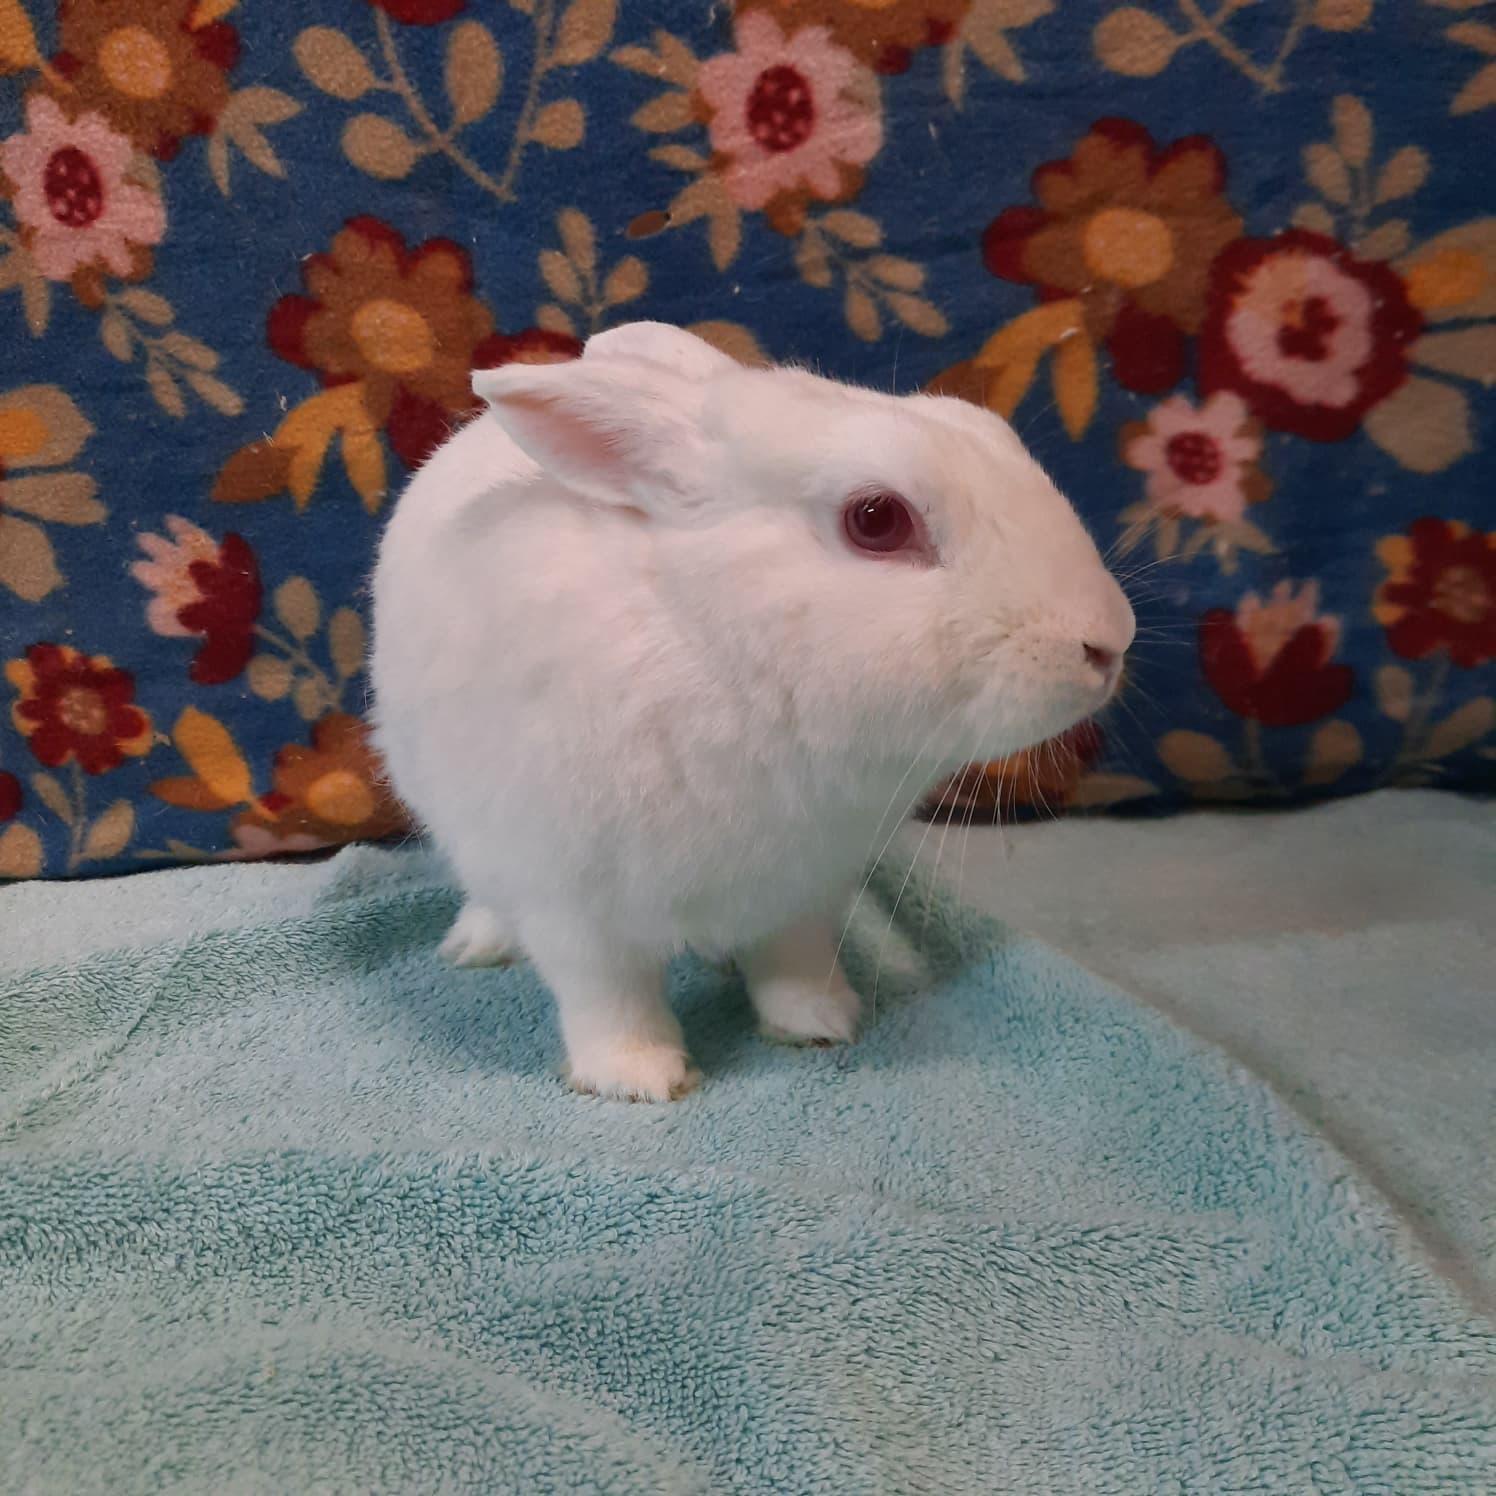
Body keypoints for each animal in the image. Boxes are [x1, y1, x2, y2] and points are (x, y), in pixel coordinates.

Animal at [369, 322, 1133, 1102]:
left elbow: (792, 960)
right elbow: (609, 994)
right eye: (877, 519)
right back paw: (479, 943)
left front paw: (820, 1023)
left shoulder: (802, 888)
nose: (1110, 641)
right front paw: (638, 1077)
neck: (720, 648)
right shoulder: (572, 900)